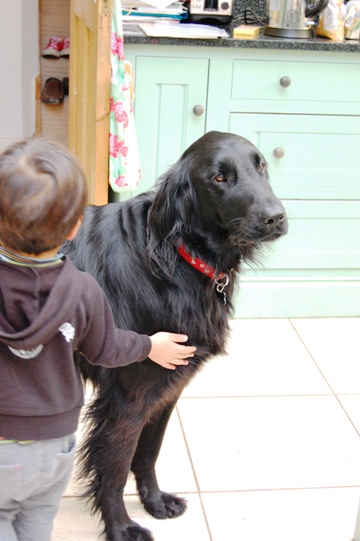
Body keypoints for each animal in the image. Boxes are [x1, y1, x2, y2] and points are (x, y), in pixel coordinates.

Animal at [64, 131, 286, 540]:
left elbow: (148, 452)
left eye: (261, 164)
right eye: (219, 178)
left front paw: (154, 501)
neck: (178, 258)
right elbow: (114, 469)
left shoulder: (167, 390)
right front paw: (121, 528)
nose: (276, 217)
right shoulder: (127, 399)